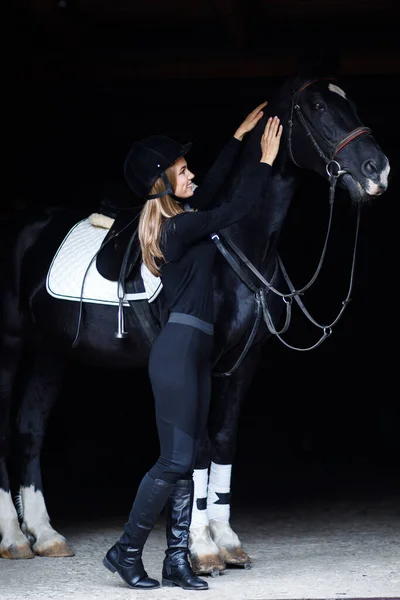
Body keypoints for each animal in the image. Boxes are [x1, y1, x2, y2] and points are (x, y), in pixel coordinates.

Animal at [0, 70, 388, 572]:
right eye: (319, 108)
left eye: (351, 104)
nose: (377, 170)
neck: (230, 242)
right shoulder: (199, 362)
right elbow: (198, 445)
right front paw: (202, 548)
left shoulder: (242, 364)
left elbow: (221, 442)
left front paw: (228, 540)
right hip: (9, 345)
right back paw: (13, 537)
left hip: (51, 351)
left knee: (29, 429)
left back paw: (45, 536)